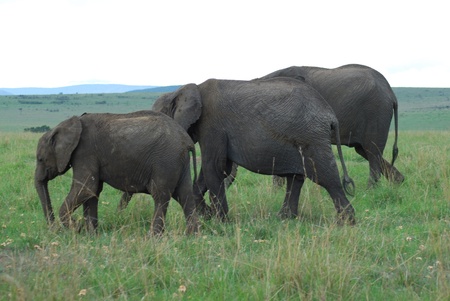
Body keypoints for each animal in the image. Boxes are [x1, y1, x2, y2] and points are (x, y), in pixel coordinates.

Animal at [36, 110, 201, 234]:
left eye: (40, 159)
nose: (54, 230)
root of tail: (187, 140)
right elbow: (92, 191)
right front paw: (91, 235)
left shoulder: (85, 152)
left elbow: (86, 187)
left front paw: (77, 228)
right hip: (179, 162)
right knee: (185, 195)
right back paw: (191, 236)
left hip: (165, 160)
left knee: (161, 196)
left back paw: (153, 238)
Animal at [153, 77, 356, 223]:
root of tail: (330, 115)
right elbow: (218, 169)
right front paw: (210, 215)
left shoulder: (212, 125)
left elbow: (215, 168)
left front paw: (220, 221)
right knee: (296, 178)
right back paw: (284, 219)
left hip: (312, 137)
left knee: (326, 176)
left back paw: (346, 222)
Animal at [256, 63, 404, 185]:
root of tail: (392, 93)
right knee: (365, 151)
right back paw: (398, 182)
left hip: (376, 112)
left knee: (372, 152)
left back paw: (370, 191)